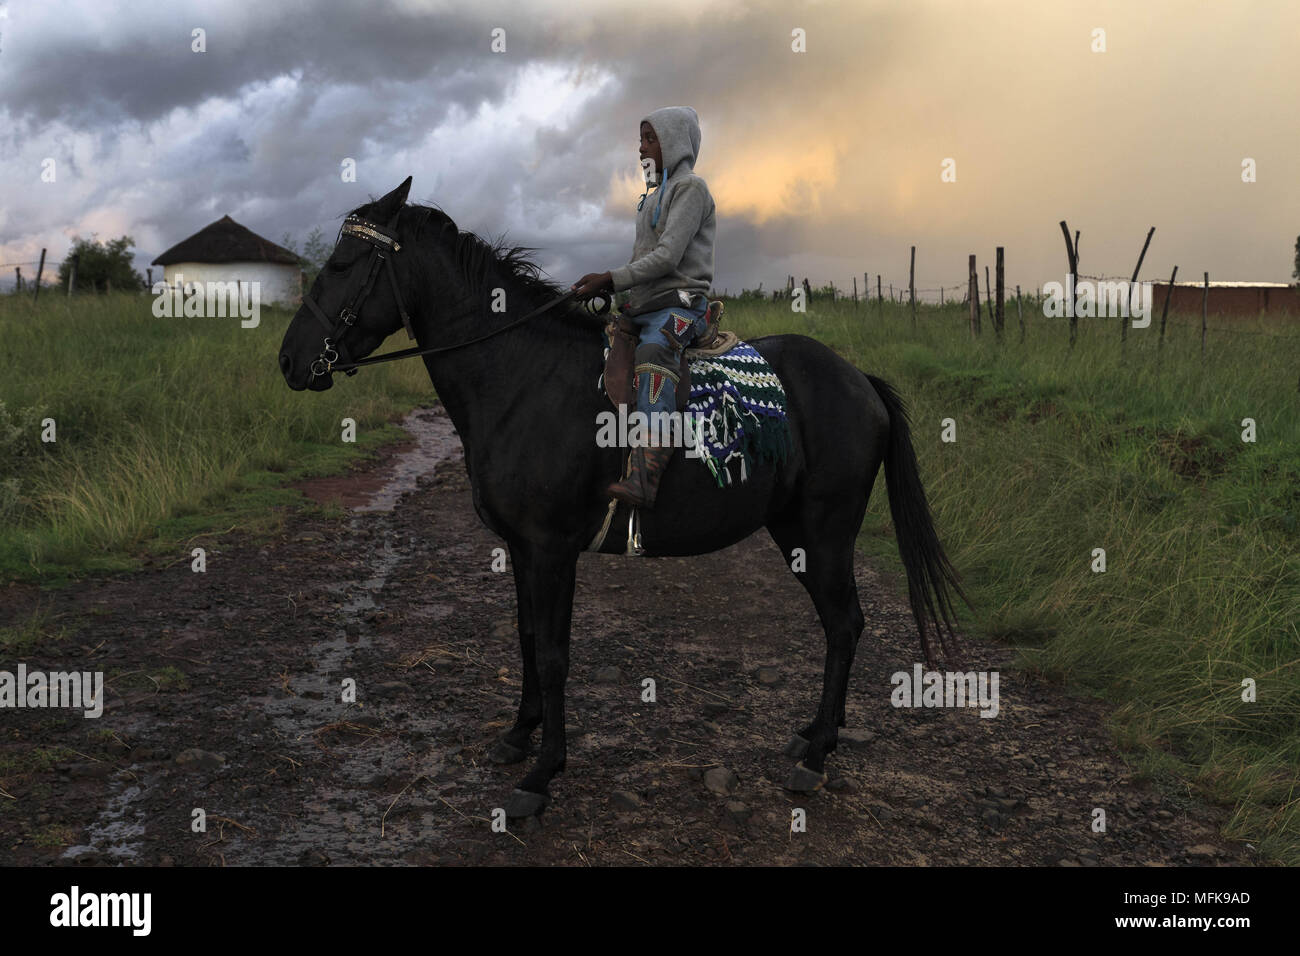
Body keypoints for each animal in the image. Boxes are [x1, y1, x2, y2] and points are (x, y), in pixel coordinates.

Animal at [279, 178, 972, 816]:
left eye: (342, 264)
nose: (289, 361)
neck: (521, 379)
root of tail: (859, 380)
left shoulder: (551, 551)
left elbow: (554, 655)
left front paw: (541, 775)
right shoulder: (523, 551)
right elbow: (527, 638)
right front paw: (518, 736)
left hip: (824, 533)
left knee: (846, 623)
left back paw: (819, 753)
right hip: (795, 532)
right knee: (838, 626)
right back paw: (809, 736)